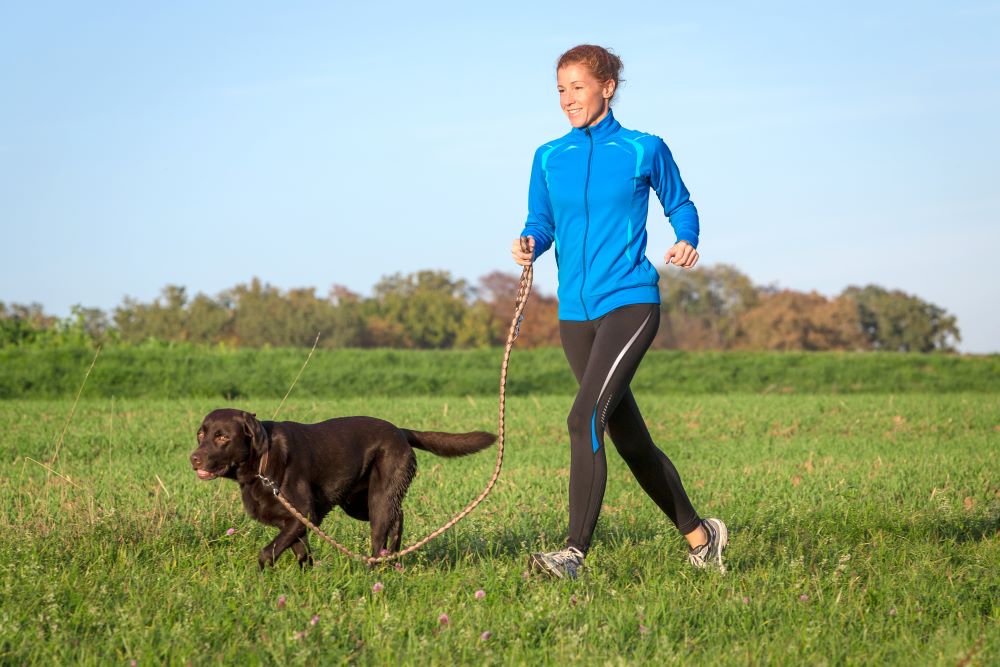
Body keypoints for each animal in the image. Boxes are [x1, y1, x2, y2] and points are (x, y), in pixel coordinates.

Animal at [188, 408, 496, 568]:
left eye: (223, 437)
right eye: (201, 434)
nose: (194, 458)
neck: (261, 462)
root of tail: (401, 431)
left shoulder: (304, 514)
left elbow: (268, 552)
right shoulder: (293, 522)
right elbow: (300, 551)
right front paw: (307, 577)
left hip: (378, 499)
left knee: (382, 535)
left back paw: (376, 572)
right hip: (357, 504)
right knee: (398, 516)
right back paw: (393, 558)